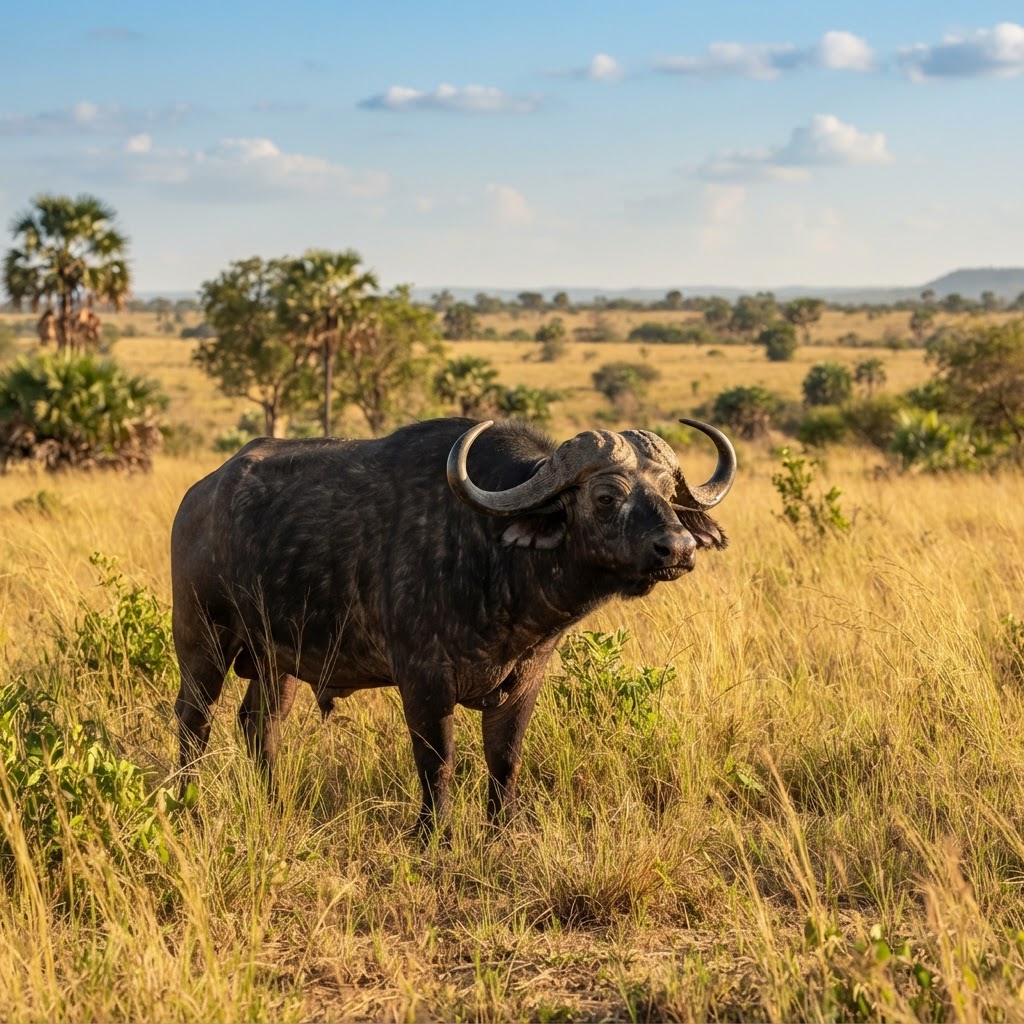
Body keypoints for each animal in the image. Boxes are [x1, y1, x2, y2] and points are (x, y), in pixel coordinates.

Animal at [171, 416, 735, 832]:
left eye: (668, 494)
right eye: (606, 496)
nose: (678, 548)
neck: (491, 554)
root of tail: (199, 495)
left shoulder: (524, 680)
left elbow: (505, 758)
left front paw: (502, 829)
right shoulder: (423, 681)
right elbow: (437, 759)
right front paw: (434, 832)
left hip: (278, 660)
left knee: (259, 723)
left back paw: (272, 800)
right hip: (203, 642)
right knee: (193, 720)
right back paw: (187, 803)